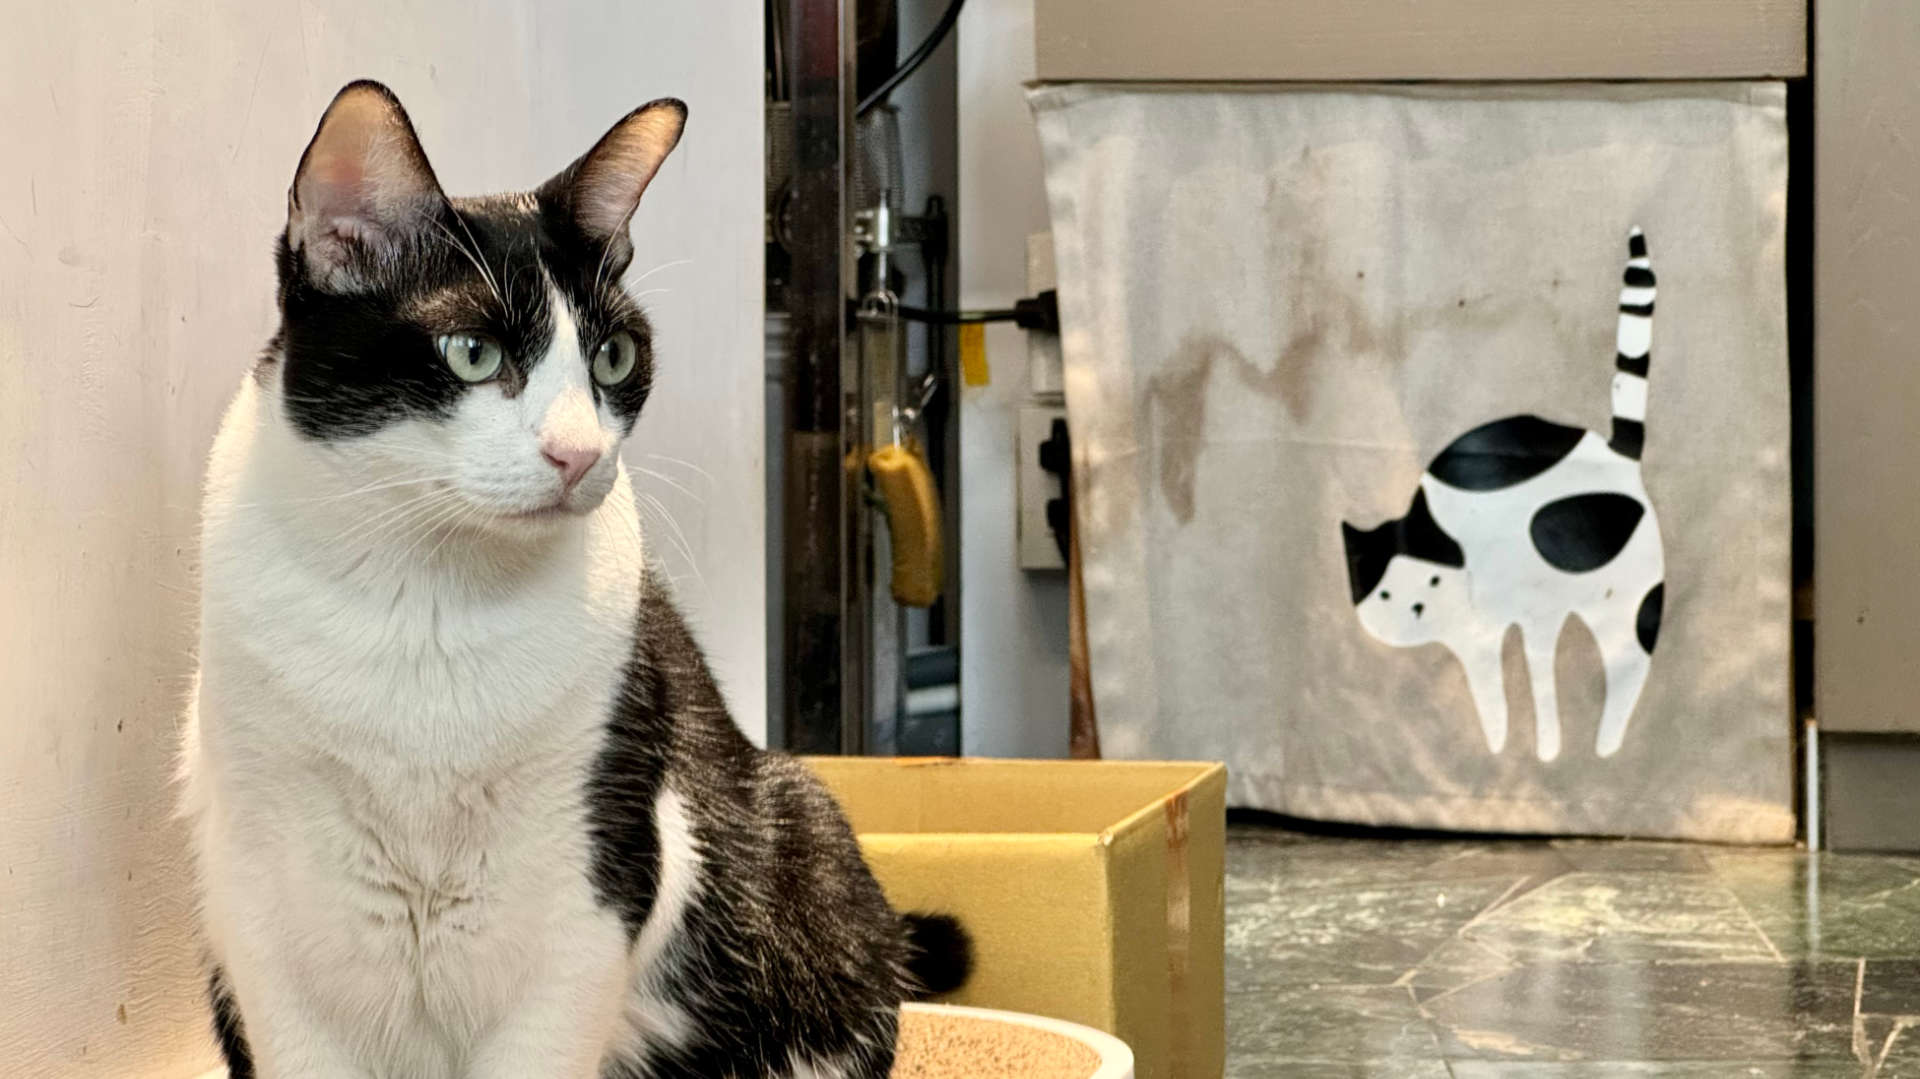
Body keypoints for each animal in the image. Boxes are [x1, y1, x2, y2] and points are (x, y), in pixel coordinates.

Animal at [180, 82, 967, 1075]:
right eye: (472, 352)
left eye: (613, 357)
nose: (581, 452)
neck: (426, 597)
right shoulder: (267, 899)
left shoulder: (590, 875)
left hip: (805, 828)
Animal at [1336, 231, 1666, 760]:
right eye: (1383, 593)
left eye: (1430, 580)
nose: (1416, 608)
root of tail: (1617, 451)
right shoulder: (1475, 639)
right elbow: (1490, 694)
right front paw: (1497, 743)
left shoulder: (1527, 617)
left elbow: (1537, 680)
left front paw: (1544, 745)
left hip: (1629, 595)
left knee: (1626, 666)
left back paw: (1604, 744)